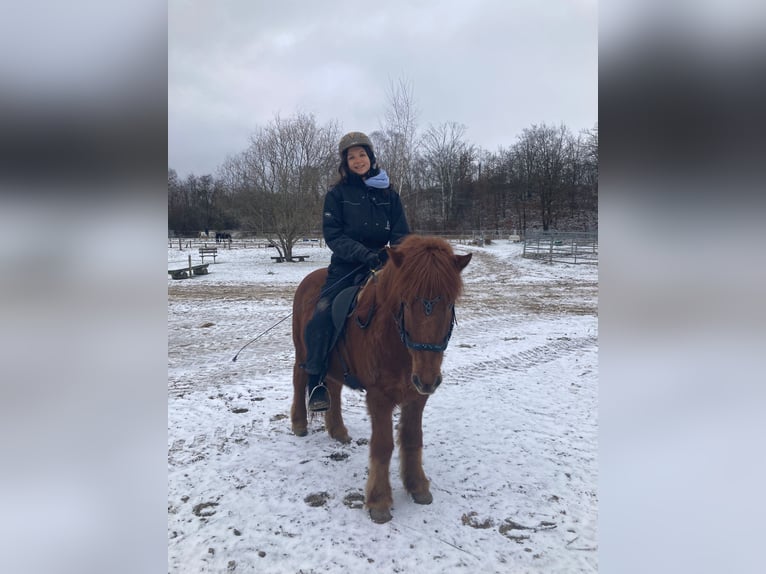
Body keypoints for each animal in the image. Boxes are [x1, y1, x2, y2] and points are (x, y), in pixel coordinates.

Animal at [290, 234, 472, 523]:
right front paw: (379, 501)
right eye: (405, 301)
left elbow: (412, 438)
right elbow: (383, 445)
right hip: (303, 351)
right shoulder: (379, 397)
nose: (428, 378)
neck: (396, 343)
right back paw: (299, 424)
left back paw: (338, 430)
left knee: (334, 388)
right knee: (299, 381)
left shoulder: (416, 396)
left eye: (448, 302)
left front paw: (417, 487)